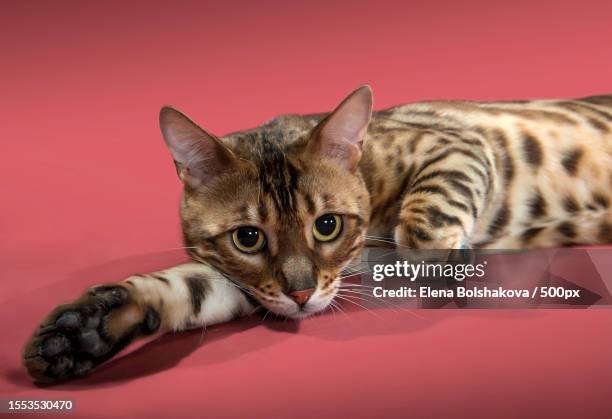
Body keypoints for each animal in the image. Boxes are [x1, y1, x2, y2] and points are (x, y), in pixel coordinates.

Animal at [22, 85, 612, 384]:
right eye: (248, 238)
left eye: (327, 225)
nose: (303, 294)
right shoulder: (246, 284)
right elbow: (184, 288)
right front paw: (85, 332)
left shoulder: (454, 144)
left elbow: (429, 214)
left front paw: (441, 265)